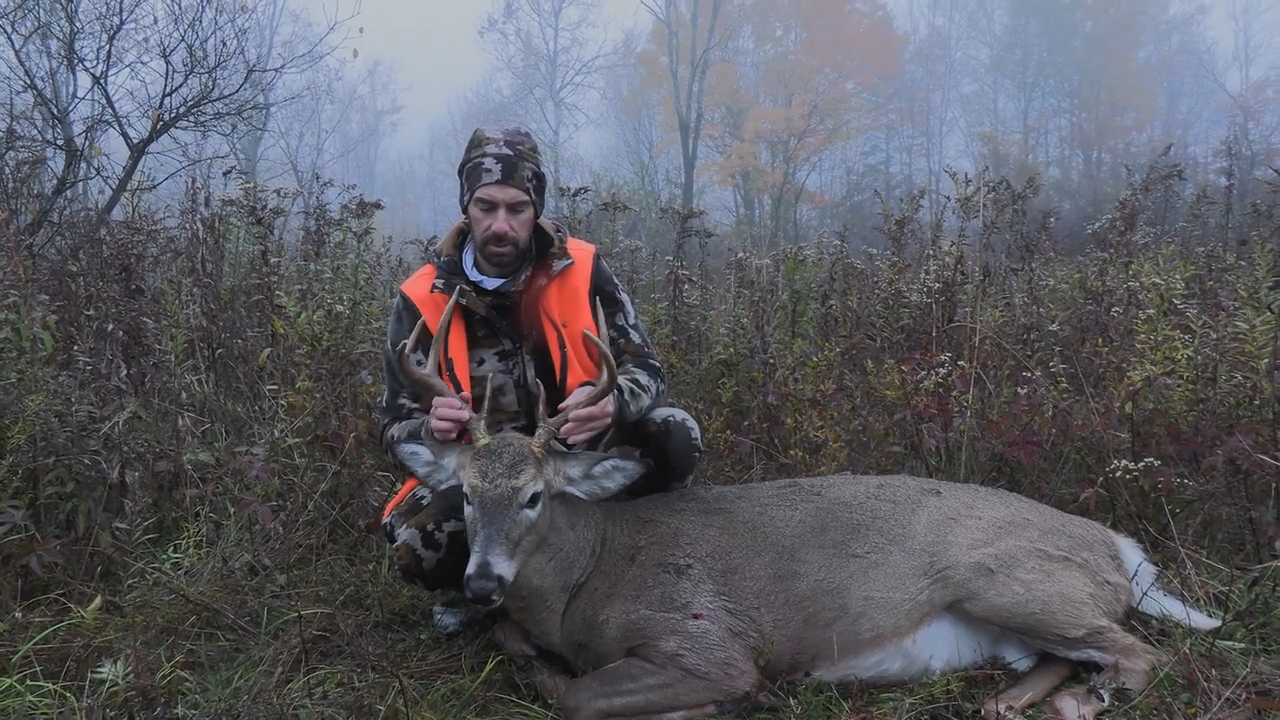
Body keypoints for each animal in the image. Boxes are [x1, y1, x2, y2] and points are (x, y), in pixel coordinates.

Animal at [387, 287, 1225, 720]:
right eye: (465, 495)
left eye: (535, 496)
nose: (482, 582)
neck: (582, 582)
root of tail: (1120, 549)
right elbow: (525, 653)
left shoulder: (706, 640)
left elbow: (578, 697)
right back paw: (1018, 702)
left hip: (1013, 581)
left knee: (1140, 651)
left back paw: (1086, 701)